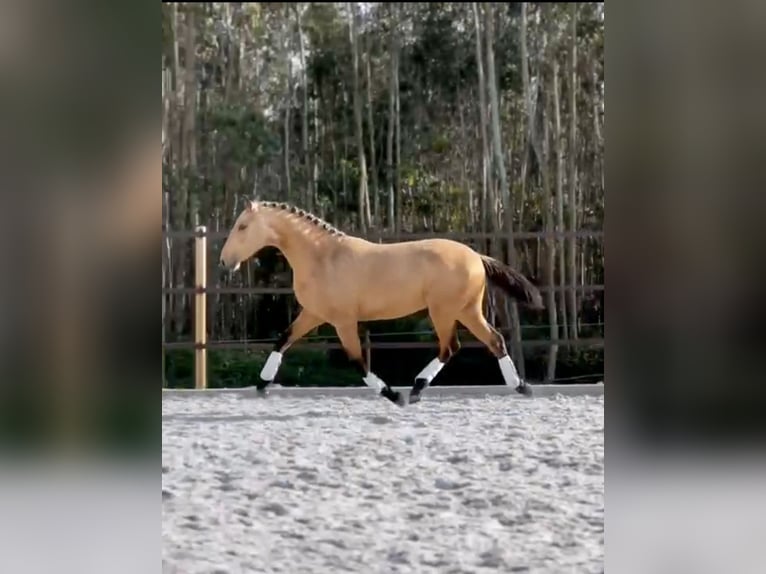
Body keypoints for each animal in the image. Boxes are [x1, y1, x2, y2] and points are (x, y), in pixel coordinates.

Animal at [218, 200, 544, 408]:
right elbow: (283, 340)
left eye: (243, 226)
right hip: (466, 310)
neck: (323, 257)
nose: (224, 262)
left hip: (444, 311)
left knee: (451, 347)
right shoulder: (313, 314)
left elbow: (358, 361)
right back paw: (520, 386)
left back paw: (414, 390)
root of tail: (476, 256)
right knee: (493, 340)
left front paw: (392, 395)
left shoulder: (343, 321)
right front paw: (261, 385)